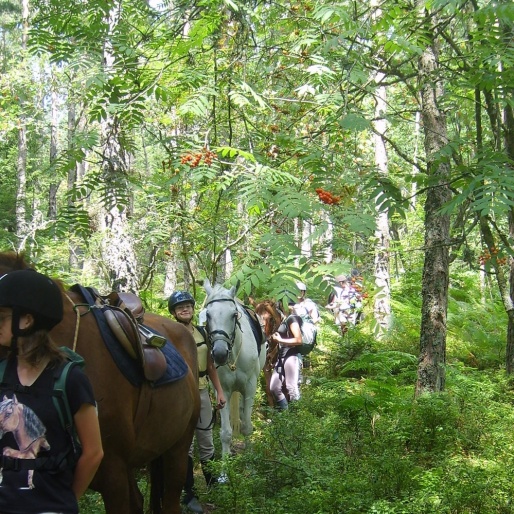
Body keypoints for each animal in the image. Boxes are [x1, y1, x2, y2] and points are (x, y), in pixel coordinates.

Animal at [201, 278, 264, 454]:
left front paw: (251, 459)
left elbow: (247, 428)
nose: (220, 353)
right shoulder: (223, 391)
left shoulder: (250, 387)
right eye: (208, 315)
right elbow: (226, 433)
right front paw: (225, 461)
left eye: (234, 315)